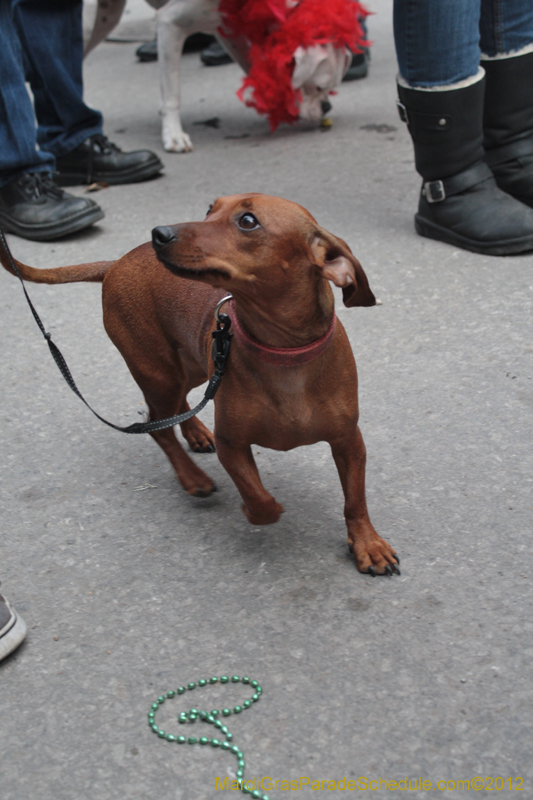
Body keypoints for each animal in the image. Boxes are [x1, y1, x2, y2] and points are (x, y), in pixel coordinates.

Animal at [1, 197, 400, 580]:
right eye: (210, 208)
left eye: (247, 221)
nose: (158, 233)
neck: (283, 354)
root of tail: (117, 263)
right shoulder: (232, 445)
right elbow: (260, 500)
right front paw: (254, 510)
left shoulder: (349, 441)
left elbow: (355, 500)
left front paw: (368, 544)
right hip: (158, 373)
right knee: (158, 426)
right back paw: (192, 476)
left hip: (192, 367)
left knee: (176, 409)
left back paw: (194, 432)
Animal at [86, 0, 362, 152]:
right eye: (318, 87)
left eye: (333, 87)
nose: (327, 107)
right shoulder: (169, 23)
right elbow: (173, 92)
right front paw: (173, 134)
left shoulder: (230, 31)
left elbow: (252, 66)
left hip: (106, 16)